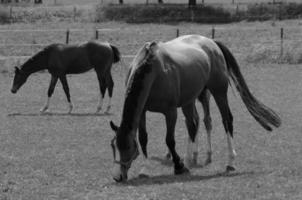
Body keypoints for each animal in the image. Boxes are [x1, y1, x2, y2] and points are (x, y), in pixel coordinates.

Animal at [109, 35, 280, 182]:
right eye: (114, 146)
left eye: (128, 147)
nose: (117, 177)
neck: (153, 69)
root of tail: (212, 42)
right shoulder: (142, 111)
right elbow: (144, 139)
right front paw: (144, 170)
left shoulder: (170, 112)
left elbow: (170, 140)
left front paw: (178, 166)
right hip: (189, 100)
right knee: (192, 125)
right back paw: (189, 160)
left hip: (218, 92)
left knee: (226, 120)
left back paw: (229, 161)